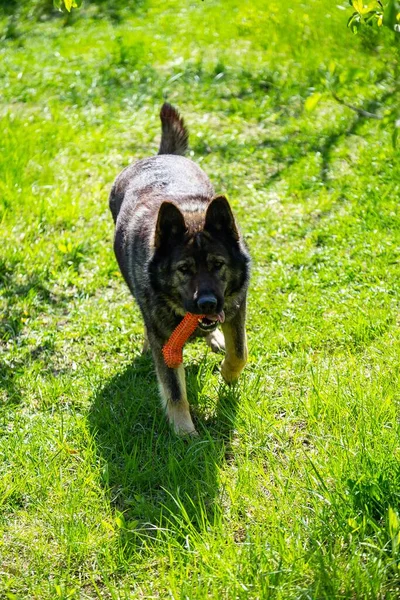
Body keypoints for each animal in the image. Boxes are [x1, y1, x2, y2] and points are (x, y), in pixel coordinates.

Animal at [108, 101, 248, 434]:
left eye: (218, 265)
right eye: (184, 269)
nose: (207, 303)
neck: (190, 212)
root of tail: (159, 156)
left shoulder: (236, 308)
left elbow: (239, 352)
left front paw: (228, 375)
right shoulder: (163, 337)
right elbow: (174, 391)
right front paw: (186, 434)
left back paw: (214, 338)